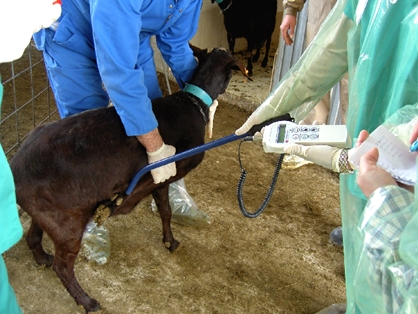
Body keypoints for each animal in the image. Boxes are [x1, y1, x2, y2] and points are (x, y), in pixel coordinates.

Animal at [10, 45, 251, 312]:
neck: (192, 102)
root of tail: (14, 171)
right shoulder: (157, 172)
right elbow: (144, 199)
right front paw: (119, 208)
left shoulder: (161, 178)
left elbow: (165, 210)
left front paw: (169, 241)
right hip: (66, 221)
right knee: (62, 267)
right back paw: (87, 301)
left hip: (48, 213)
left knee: (34, 236)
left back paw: (42, 258)